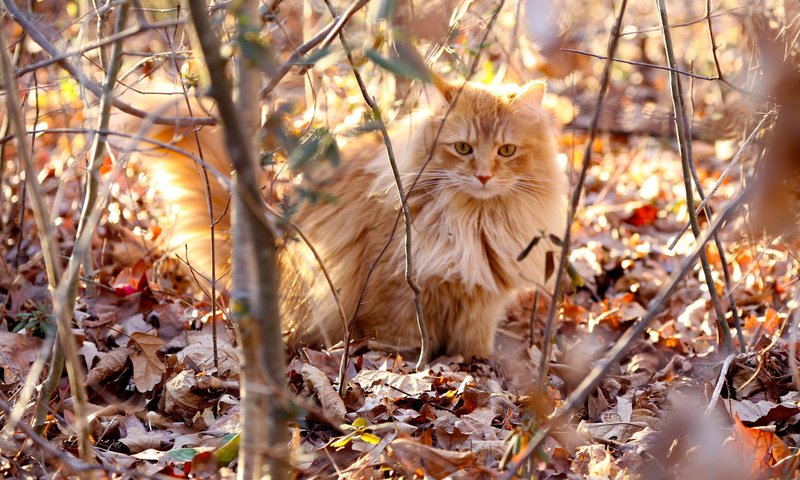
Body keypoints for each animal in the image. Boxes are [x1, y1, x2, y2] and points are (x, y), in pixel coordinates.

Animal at [115, 77, 572, 358]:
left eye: (507, 151)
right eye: (463, 148)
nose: (483, 176)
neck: (473, 219)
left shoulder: (480, 303)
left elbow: (473, 343)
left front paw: (475, 364)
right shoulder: (397, 288)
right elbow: (403, 338)